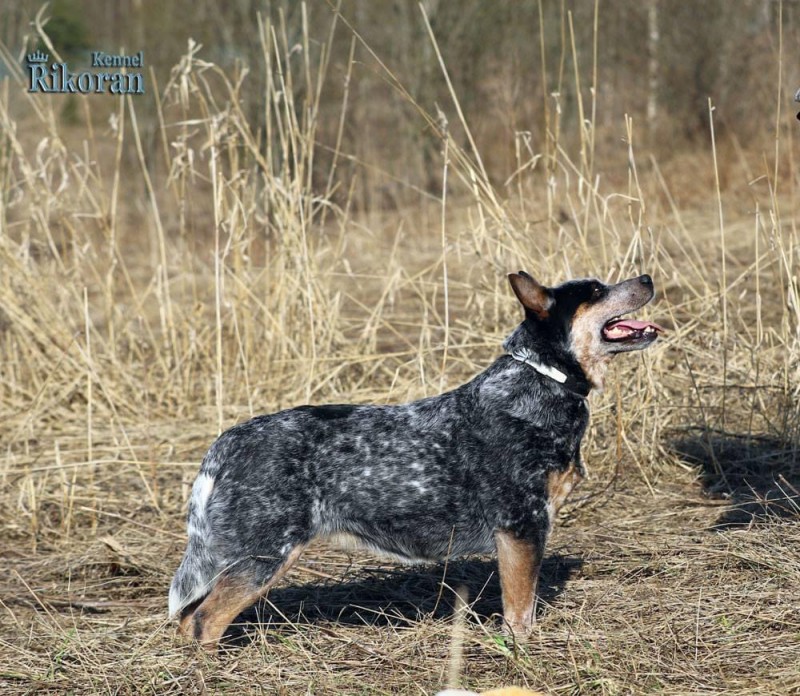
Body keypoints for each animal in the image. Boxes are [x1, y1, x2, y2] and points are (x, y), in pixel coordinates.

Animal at [167, 270, 664, 648]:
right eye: (595, 291)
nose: (646, 277)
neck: (542, 382)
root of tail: (228, 441)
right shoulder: (521, 528)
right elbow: (520, 610)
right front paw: (525, 652)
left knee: (186, 617)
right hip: (263, 556)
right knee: (204, 620)